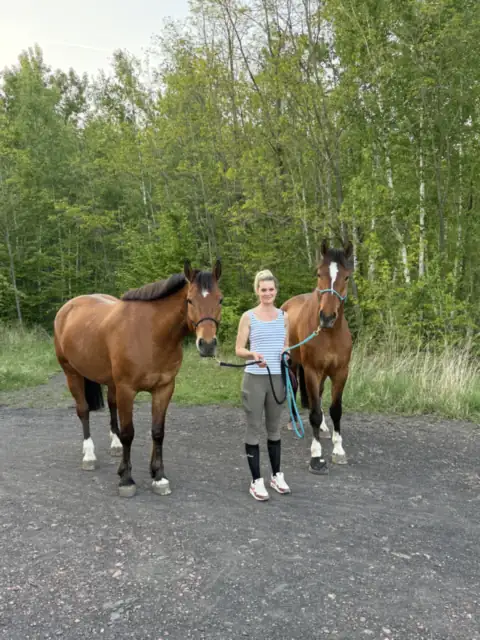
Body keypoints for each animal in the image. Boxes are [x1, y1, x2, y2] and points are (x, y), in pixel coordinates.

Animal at [54, 260, 223, 497]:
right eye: (190, 300)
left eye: (220, 299)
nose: (207, 345)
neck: (150, 334)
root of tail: (68, 307)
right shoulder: (127, 389)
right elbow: (128, 433)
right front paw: (126, 479)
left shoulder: (164, 388)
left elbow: (158, 432)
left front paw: (159, 477)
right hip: (72, 374)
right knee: (83, 410)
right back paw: (89, 456)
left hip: (110, 382)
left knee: (111, 406)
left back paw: (115, 445)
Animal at [281, 240, 353, 474]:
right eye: (319, 273)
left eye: (346, 276)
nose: (327, 317)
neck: (329, 334)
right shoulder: (312, 371)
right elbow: (313, 412)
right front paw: (316, 455)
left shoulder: (340, 372)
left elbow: (335, 410)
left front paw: (338, 450)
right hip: (292, 364)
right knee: (293, 390)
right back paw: (293, 421)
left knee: (319, 396)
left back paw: (322, 427)